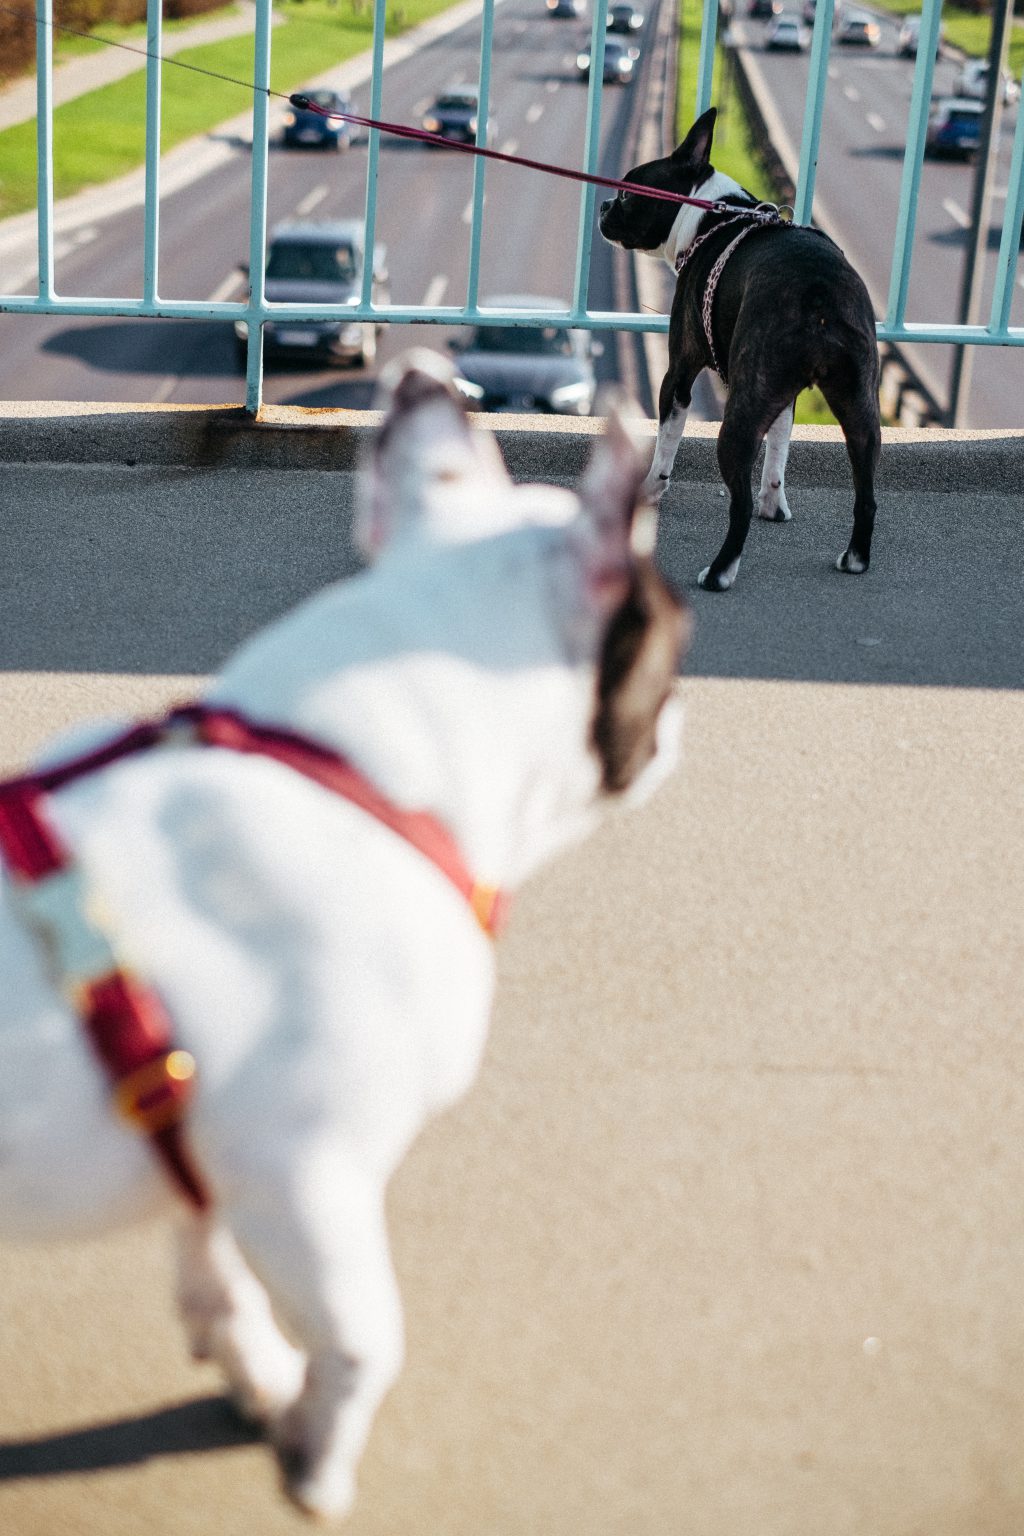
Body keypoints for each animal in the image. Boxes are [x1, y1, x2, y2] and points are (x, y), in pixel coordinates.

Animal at [0, 353, 693, 1517]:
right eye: (673, 644)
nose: (684, 722)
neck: (354, 765)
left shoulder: (215, 1156)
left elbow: (214, 1267)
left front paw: (255, 1374)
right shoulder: (308, 1178)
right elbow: (370, 1337)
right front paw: (318, 1461)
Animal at [601, 106, 884, 586]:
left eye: (626, 194)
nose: (603, 205)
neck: (710, 214)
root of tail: (820, 296)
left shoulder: (678, 373)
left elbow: (665, 444)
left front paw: (649, 491)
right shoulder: (784, 397)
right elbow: (778, 450)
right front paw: (776, 504)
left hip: (740, 414)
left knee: (740, 505)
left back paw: (719, 572)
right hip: (858, 403)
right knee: (866, 491)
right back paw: (856, 558)